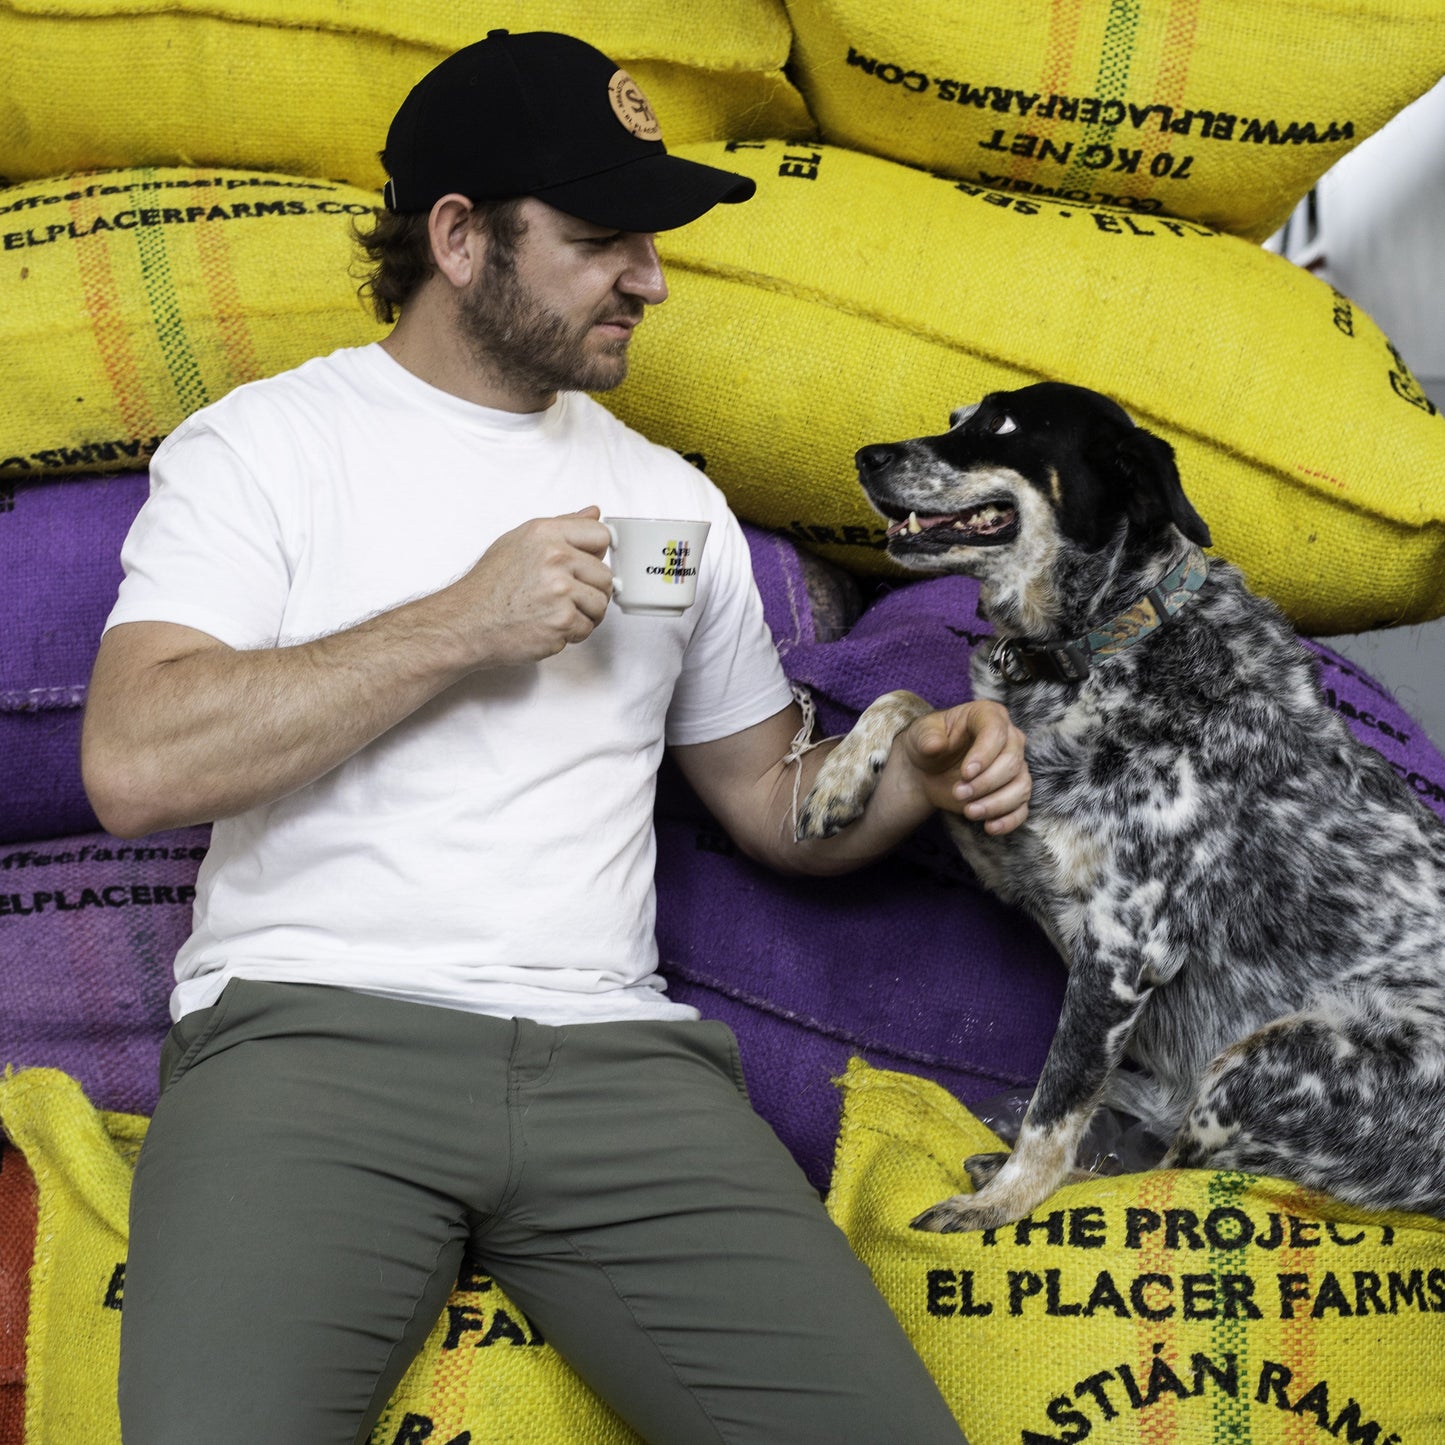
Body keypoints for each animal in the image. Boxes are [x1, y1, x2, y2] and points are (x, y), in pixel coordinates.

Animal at [797, 381, 1445, 1231]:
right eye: (953, 419)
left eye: (1002, 423)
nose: (865, 456)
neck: (1103, 645)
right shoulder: (1015, 845)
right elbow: (910, 702)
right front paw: (840, 776)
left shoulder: (1120, 947)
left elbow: (1058, 1105)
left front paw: (1003, 1202)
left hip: (1275, 1058)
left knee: (1172, 1169)